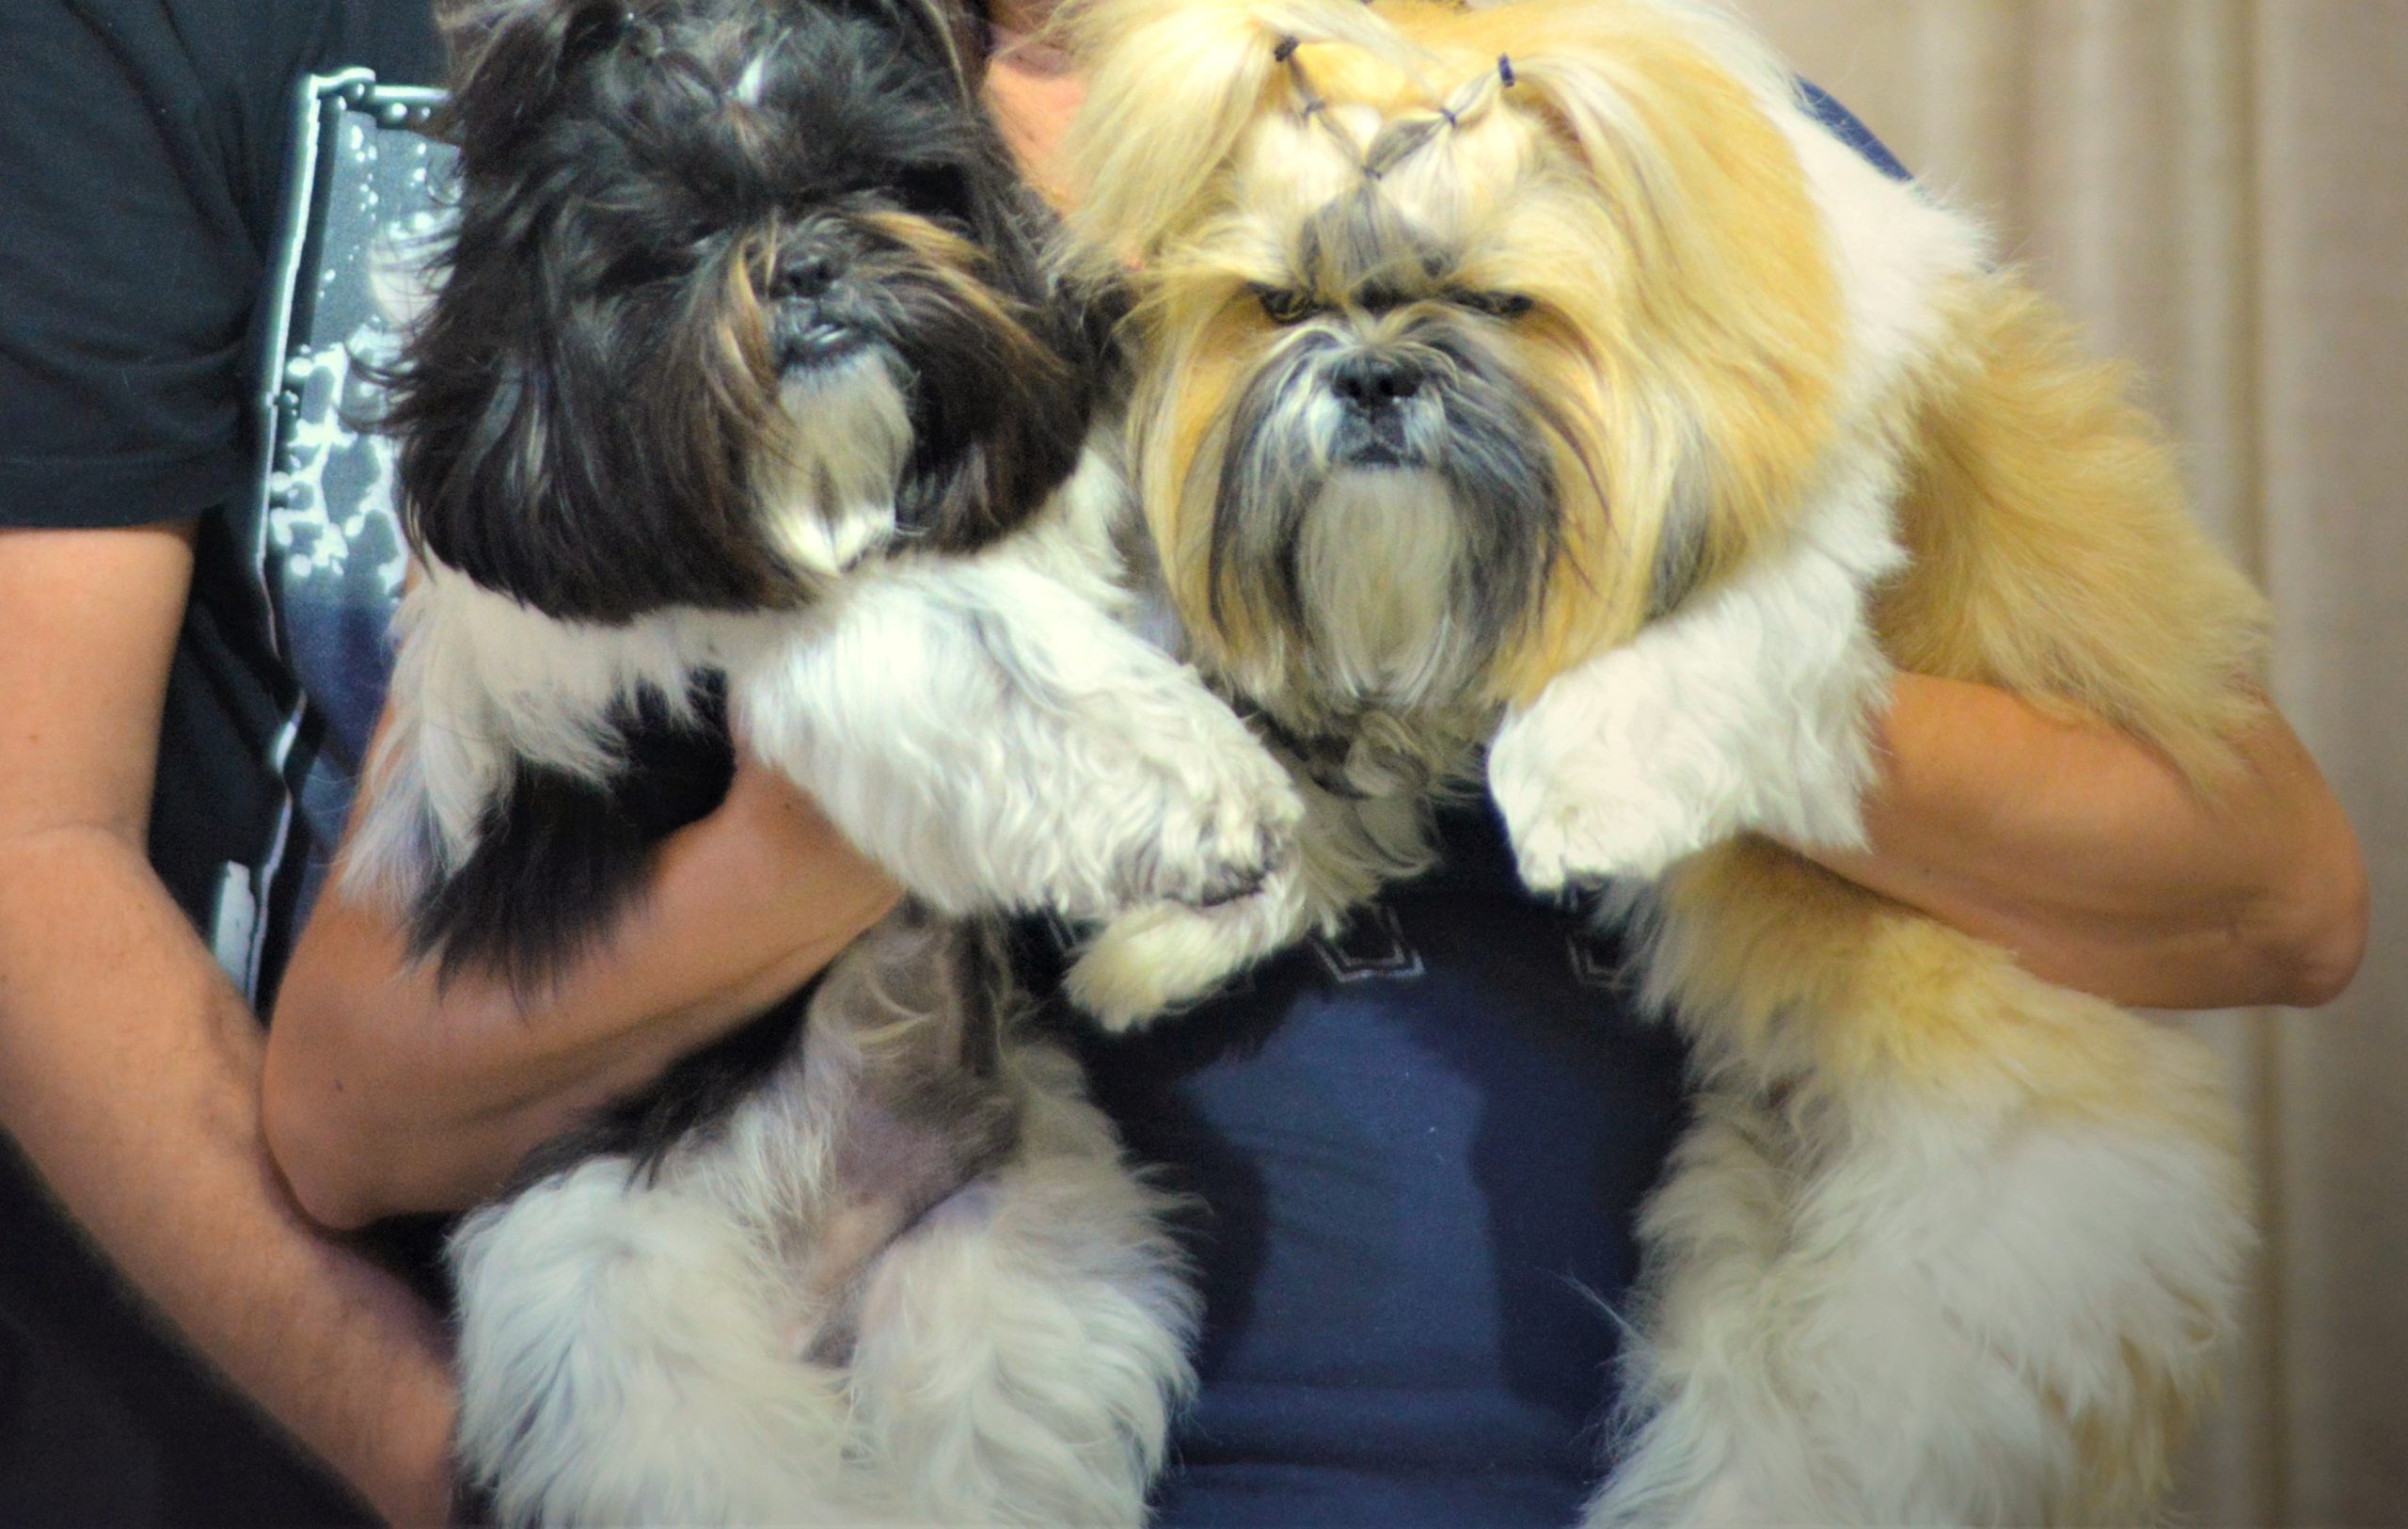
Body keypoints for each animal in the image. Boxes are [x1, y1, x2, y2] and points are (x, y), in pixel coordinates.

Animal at [351, 0, 1300, 1512]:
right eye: (676, 236)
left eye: (879, 178)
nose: (807, 258)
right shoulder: (778, 642)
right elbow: (1007, 657)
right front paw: (1209, 809)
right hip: (628, 1324)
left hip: (1012, 1278)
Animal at [1064, 0, 2263, 1521]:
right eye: (1278, 305)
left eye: (1500, 304)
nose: (1373, 374)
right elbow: (1342, 789)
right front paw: (1169, 935)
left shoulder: (1801, 539)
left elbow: (1685, 646)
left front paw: (1582, 798)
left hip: (1930, 1307)